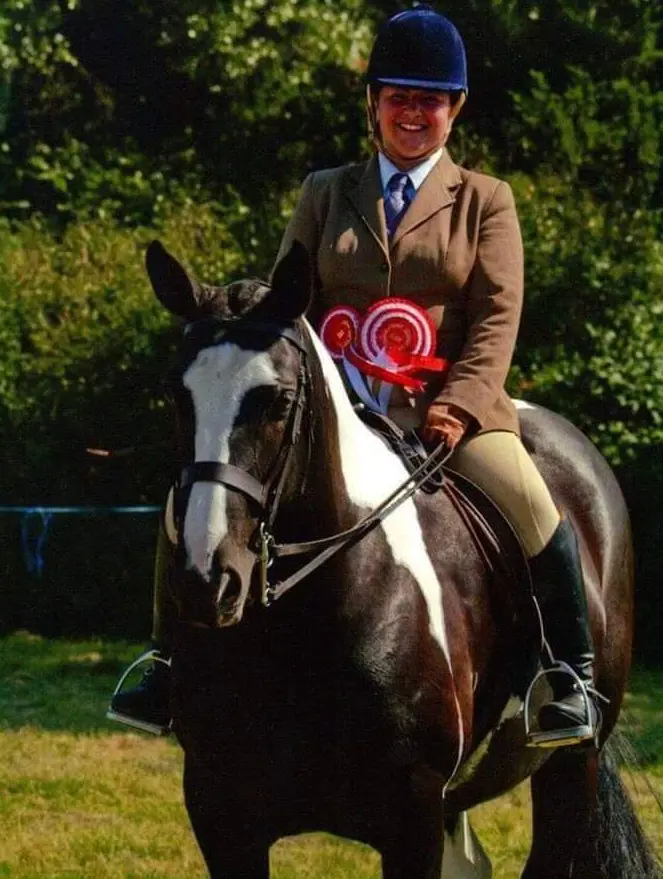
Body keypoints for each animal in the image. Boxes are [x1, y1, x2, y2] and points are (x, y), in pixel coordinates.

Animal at [144, 237, 660, 879]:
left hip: (571, 766)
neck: (298, 628)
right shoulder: (220, 811)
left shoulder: (412, 814)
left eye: (278, 401)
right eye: (176, 394)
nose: (206, 580)